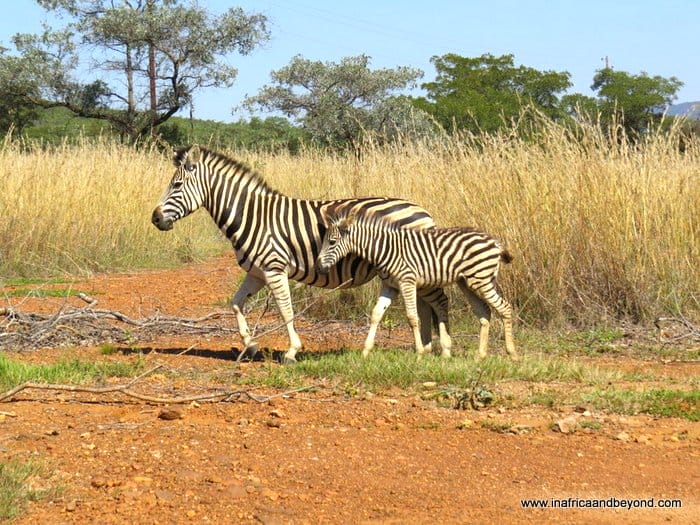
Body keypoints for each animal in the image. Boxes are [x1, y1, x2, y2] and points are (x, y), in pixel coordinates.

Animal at [151, 145, 451, 363]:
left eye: (176, 186)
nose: (155, 218)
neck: (253, 215)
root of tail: (422, 210)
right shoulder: (256, 272)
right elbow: (236, 304)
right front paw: (250, 346)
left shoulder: (274, 268)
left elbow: (286, 309)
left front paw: (292, 351)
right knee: (424, 305)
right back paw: (426, 348)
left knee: (436, 301)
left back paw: (440, 349)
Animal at [316, 201, 519, 361]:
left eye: (332, 242)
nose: (318, 268)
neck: (384, 249)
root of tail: (494, 241)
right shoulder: (389, 285)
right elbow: (376, 314)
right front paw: (366, 351)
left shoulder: (407, 281)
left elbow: (412, 317)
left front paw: (420, 353)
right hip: (468, 282)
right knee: (484, 312)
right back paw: (480, 355)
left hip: (481, 279)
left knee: (505, 308)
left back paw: (512, 353)